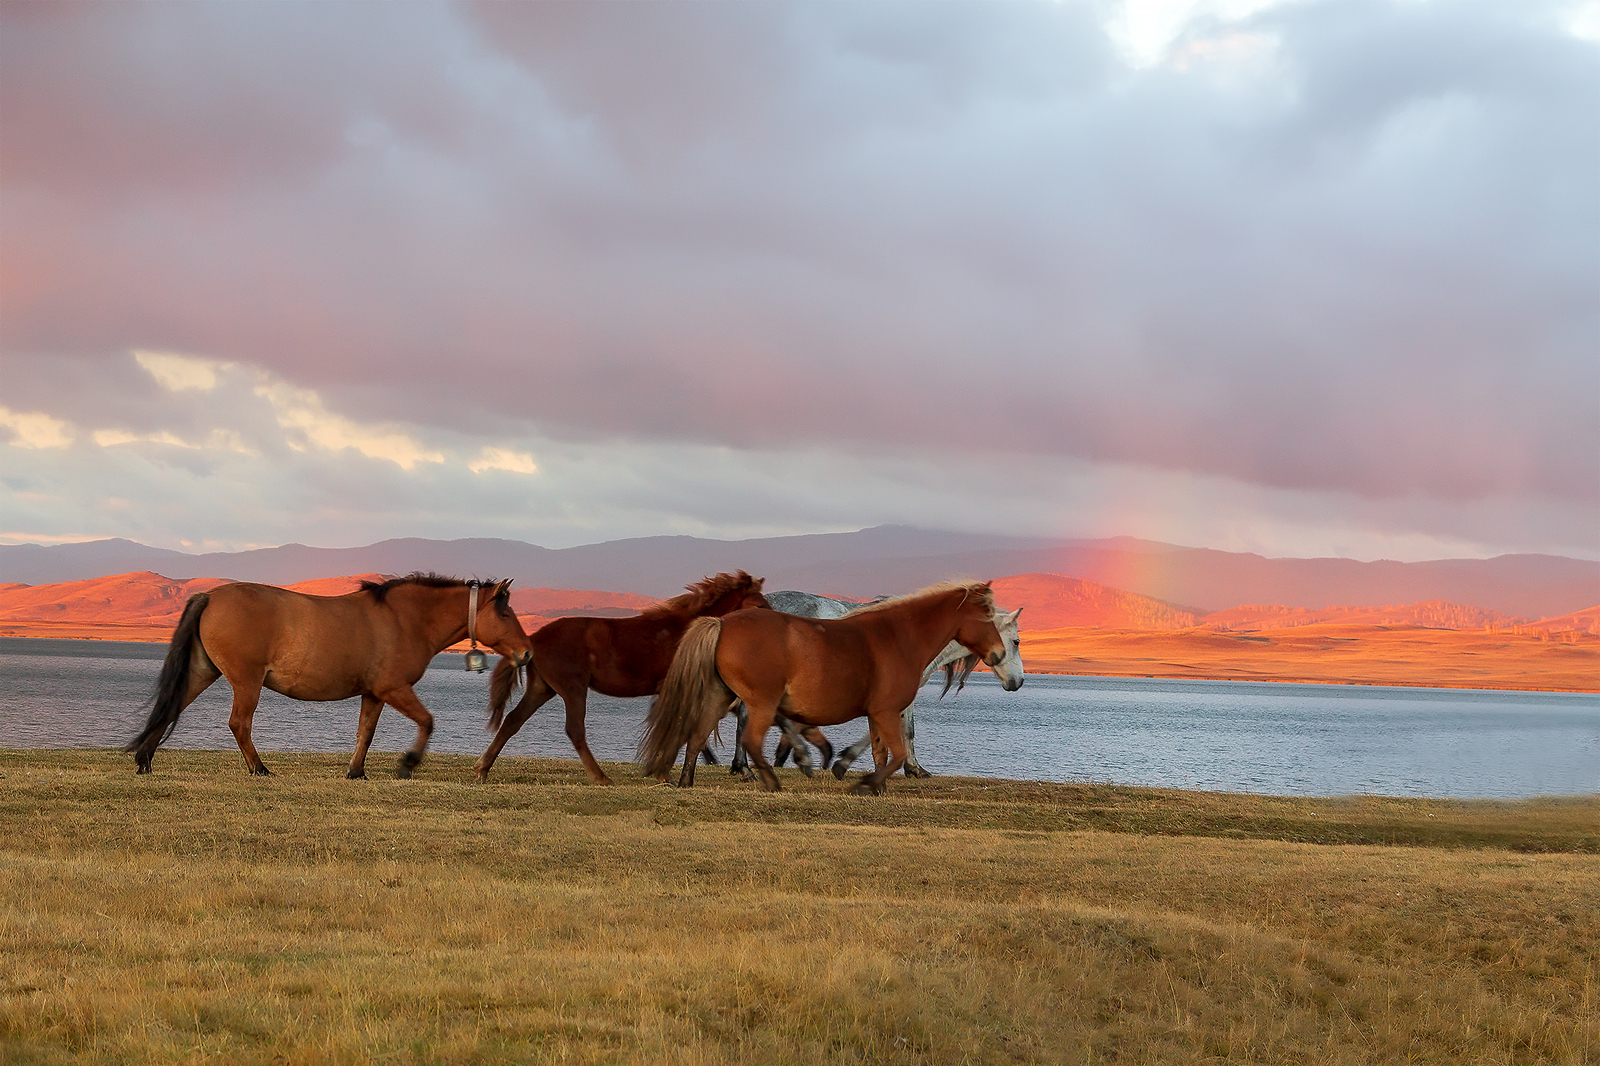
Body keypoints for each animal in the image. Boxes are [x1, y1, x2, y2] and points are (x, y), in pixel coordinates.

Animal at [129, 569, 531, 777]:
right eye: (505, 612)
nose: (527, 653)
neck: (405, 619)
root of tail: (210, 595)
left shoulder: (374, 693)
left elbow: (365, 733)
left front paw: (356, 772)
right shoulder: (394, 688)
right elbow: (427, 721)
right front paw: (408, 763)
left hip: (203, 671)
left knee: (172, 707)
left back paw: (144, 760)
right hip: (246, 681)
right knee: (239, 723)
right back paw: (260, 769)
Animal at [473, 569, 768, 784]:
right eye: (760, 605)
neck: (686, 631)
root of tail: (533, 639)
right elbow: (678, 724)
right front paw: (663, 773)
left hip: (542, 688)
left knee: (512, 721)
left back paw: (483, 769)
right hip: (572, 689)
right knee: (574, 730)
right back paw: (600, 777)